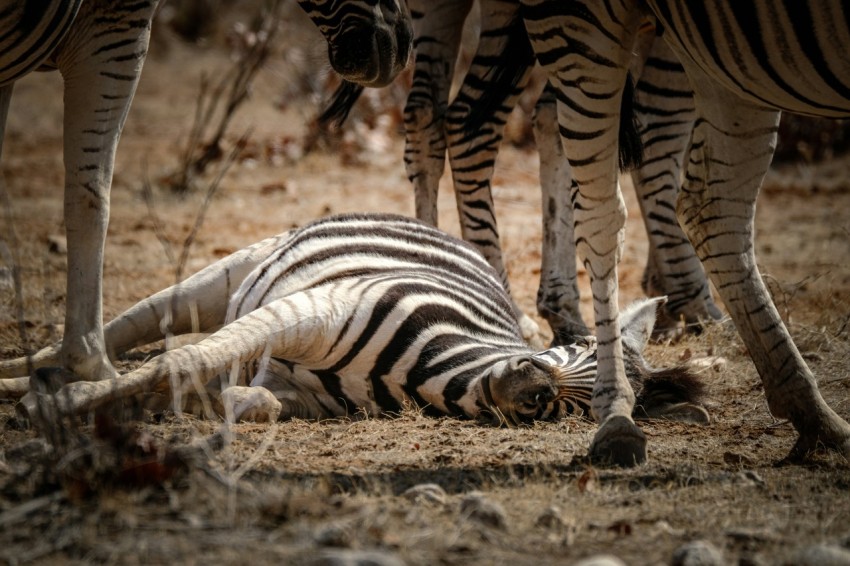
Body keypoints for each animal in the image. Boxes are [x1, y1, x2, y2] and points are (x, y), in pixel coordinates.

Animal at [0, 213, 704, 434]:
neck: (430, 374)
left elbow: (249, 398)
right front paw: (57, 406)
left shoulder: (298, 393)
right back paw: (19, 379)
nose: (528, 387)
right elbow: (182, 359)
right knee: (127, 326)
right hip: (228, 277)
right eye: (574, 353)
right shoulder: (310, 309)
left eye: (582, 408)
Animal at [520, 0, 848, 466]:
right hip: (579, 26)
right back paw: (616, 415)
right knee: (603, 213)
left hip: (726, 59)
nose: (536, 387)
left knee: (713, 208)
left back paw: (816, 418)